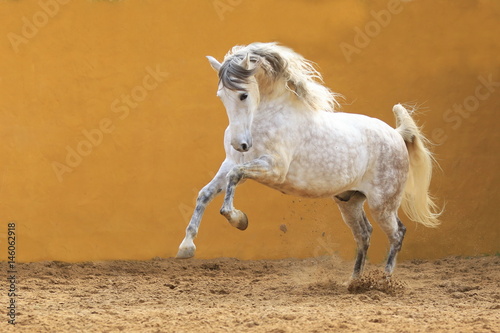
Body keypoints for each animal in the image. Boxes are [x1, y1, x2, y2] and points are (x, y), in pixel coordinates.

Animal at [177, 42, 442, 278]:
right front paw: (186, 247)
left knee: (397, 234)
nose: (239, 144)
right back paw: (355, 282)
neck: (268, 115)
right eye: (221, 96)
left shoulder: (273, 169)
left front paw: (239, 220)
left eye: (243, 95)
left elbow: (233, 181)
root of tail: (396, 135)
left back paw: (385, 281)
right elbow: (205, 193)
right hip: (349, 201)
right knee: (364, 234)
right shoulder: (231, 163)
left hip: (383, 204)